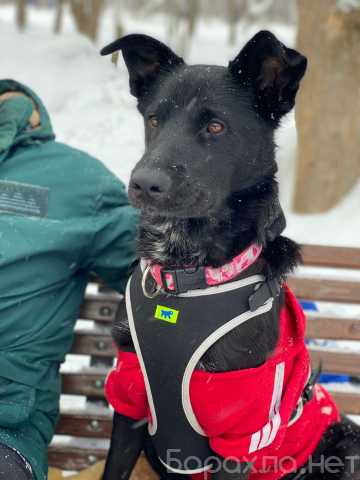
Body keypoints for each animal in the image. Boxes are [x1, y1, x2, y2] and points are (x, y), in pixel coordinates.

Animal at [100, 31, 360, 478]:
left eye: (216, 126)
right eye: (153, 120)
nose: (144, 183)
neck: (184, 276)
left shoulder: (240, 427)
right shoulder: (129, 393)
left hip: (348, 445)